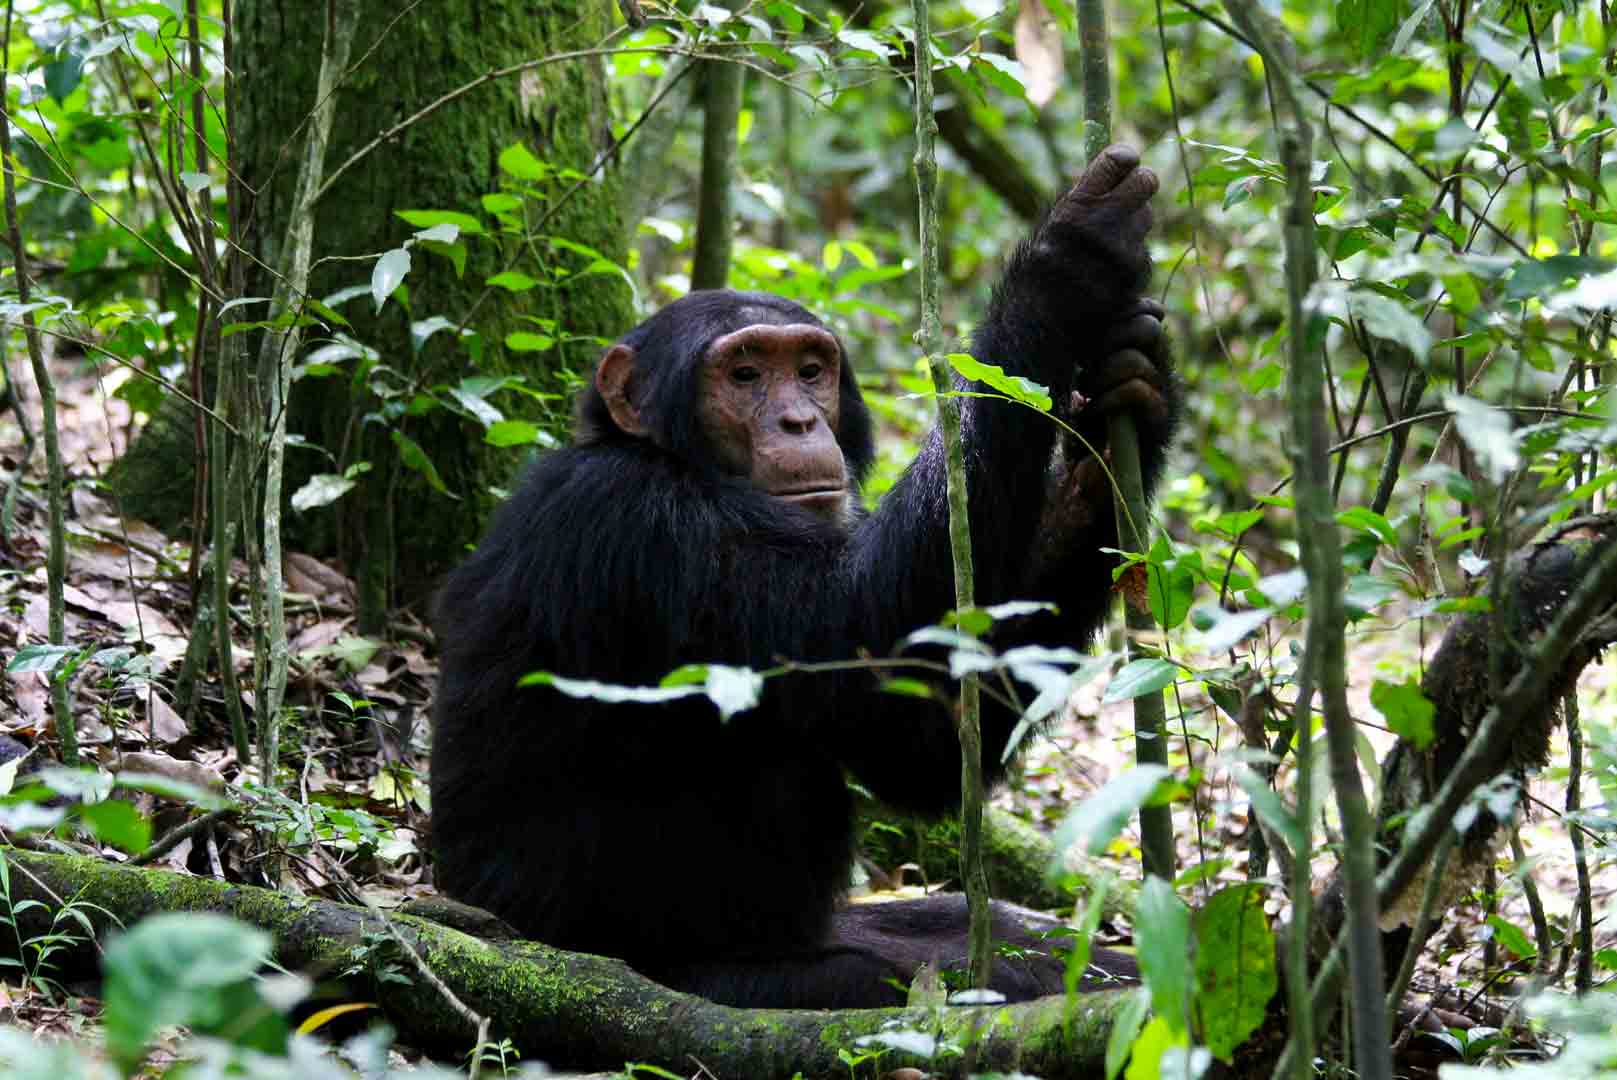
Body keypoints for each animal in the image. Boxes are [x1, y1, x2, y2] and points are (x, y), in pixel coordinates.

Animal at [433, 141, 1177, 1002]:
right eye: (744, 375)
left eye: (811, 369)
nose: (797, 421)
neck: (671, 460)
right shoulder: (645, 525)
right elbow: (861, 623)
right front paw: (1068, 266)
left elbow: (914, 743)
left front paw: (1128, 406)